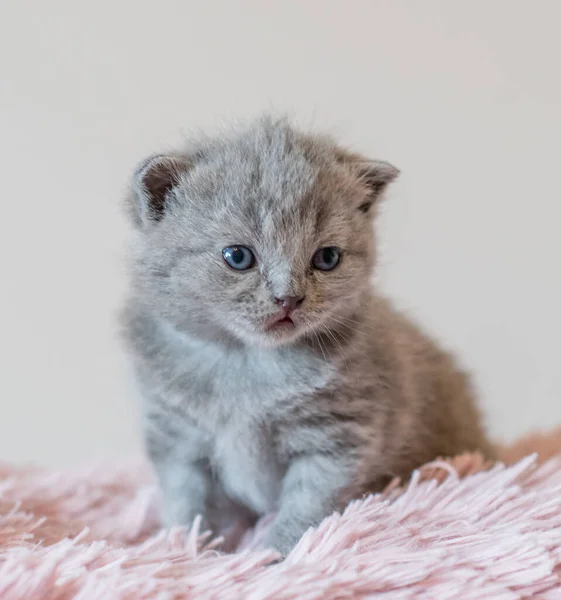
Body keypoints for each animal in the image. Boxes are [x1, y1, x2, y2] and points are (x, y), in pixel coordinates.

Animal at [120, 116, 492, 552]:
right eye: (238, 257)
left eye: (327, 258)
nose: (288, 298)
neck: (247, 363)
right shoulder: (177, 436)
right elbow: (186, 503)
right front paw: (185, 548)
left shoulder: (337, 436)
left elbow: (306, 505)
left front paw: (270, 554)